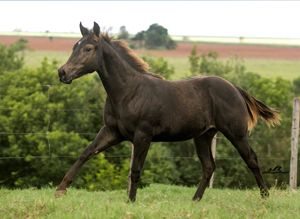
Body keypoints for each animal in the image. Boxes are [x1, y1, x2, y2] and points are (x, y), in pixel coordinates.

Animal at [56, 22, 282, 202]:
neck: (128, 91)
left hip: (236, 133)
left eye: (87, 48)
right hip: (203, 136)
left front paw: (131, 201)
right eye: (74, 46)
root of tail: (234, 87)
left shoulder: (143, 135)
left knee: (251, 159)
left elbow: (135, 169)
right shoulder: (112, 132)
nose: (62, 72)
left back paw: (265, 196)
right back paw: (195, 200)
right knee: (209, 167)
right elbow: (86, 153)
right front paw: (60, 189)